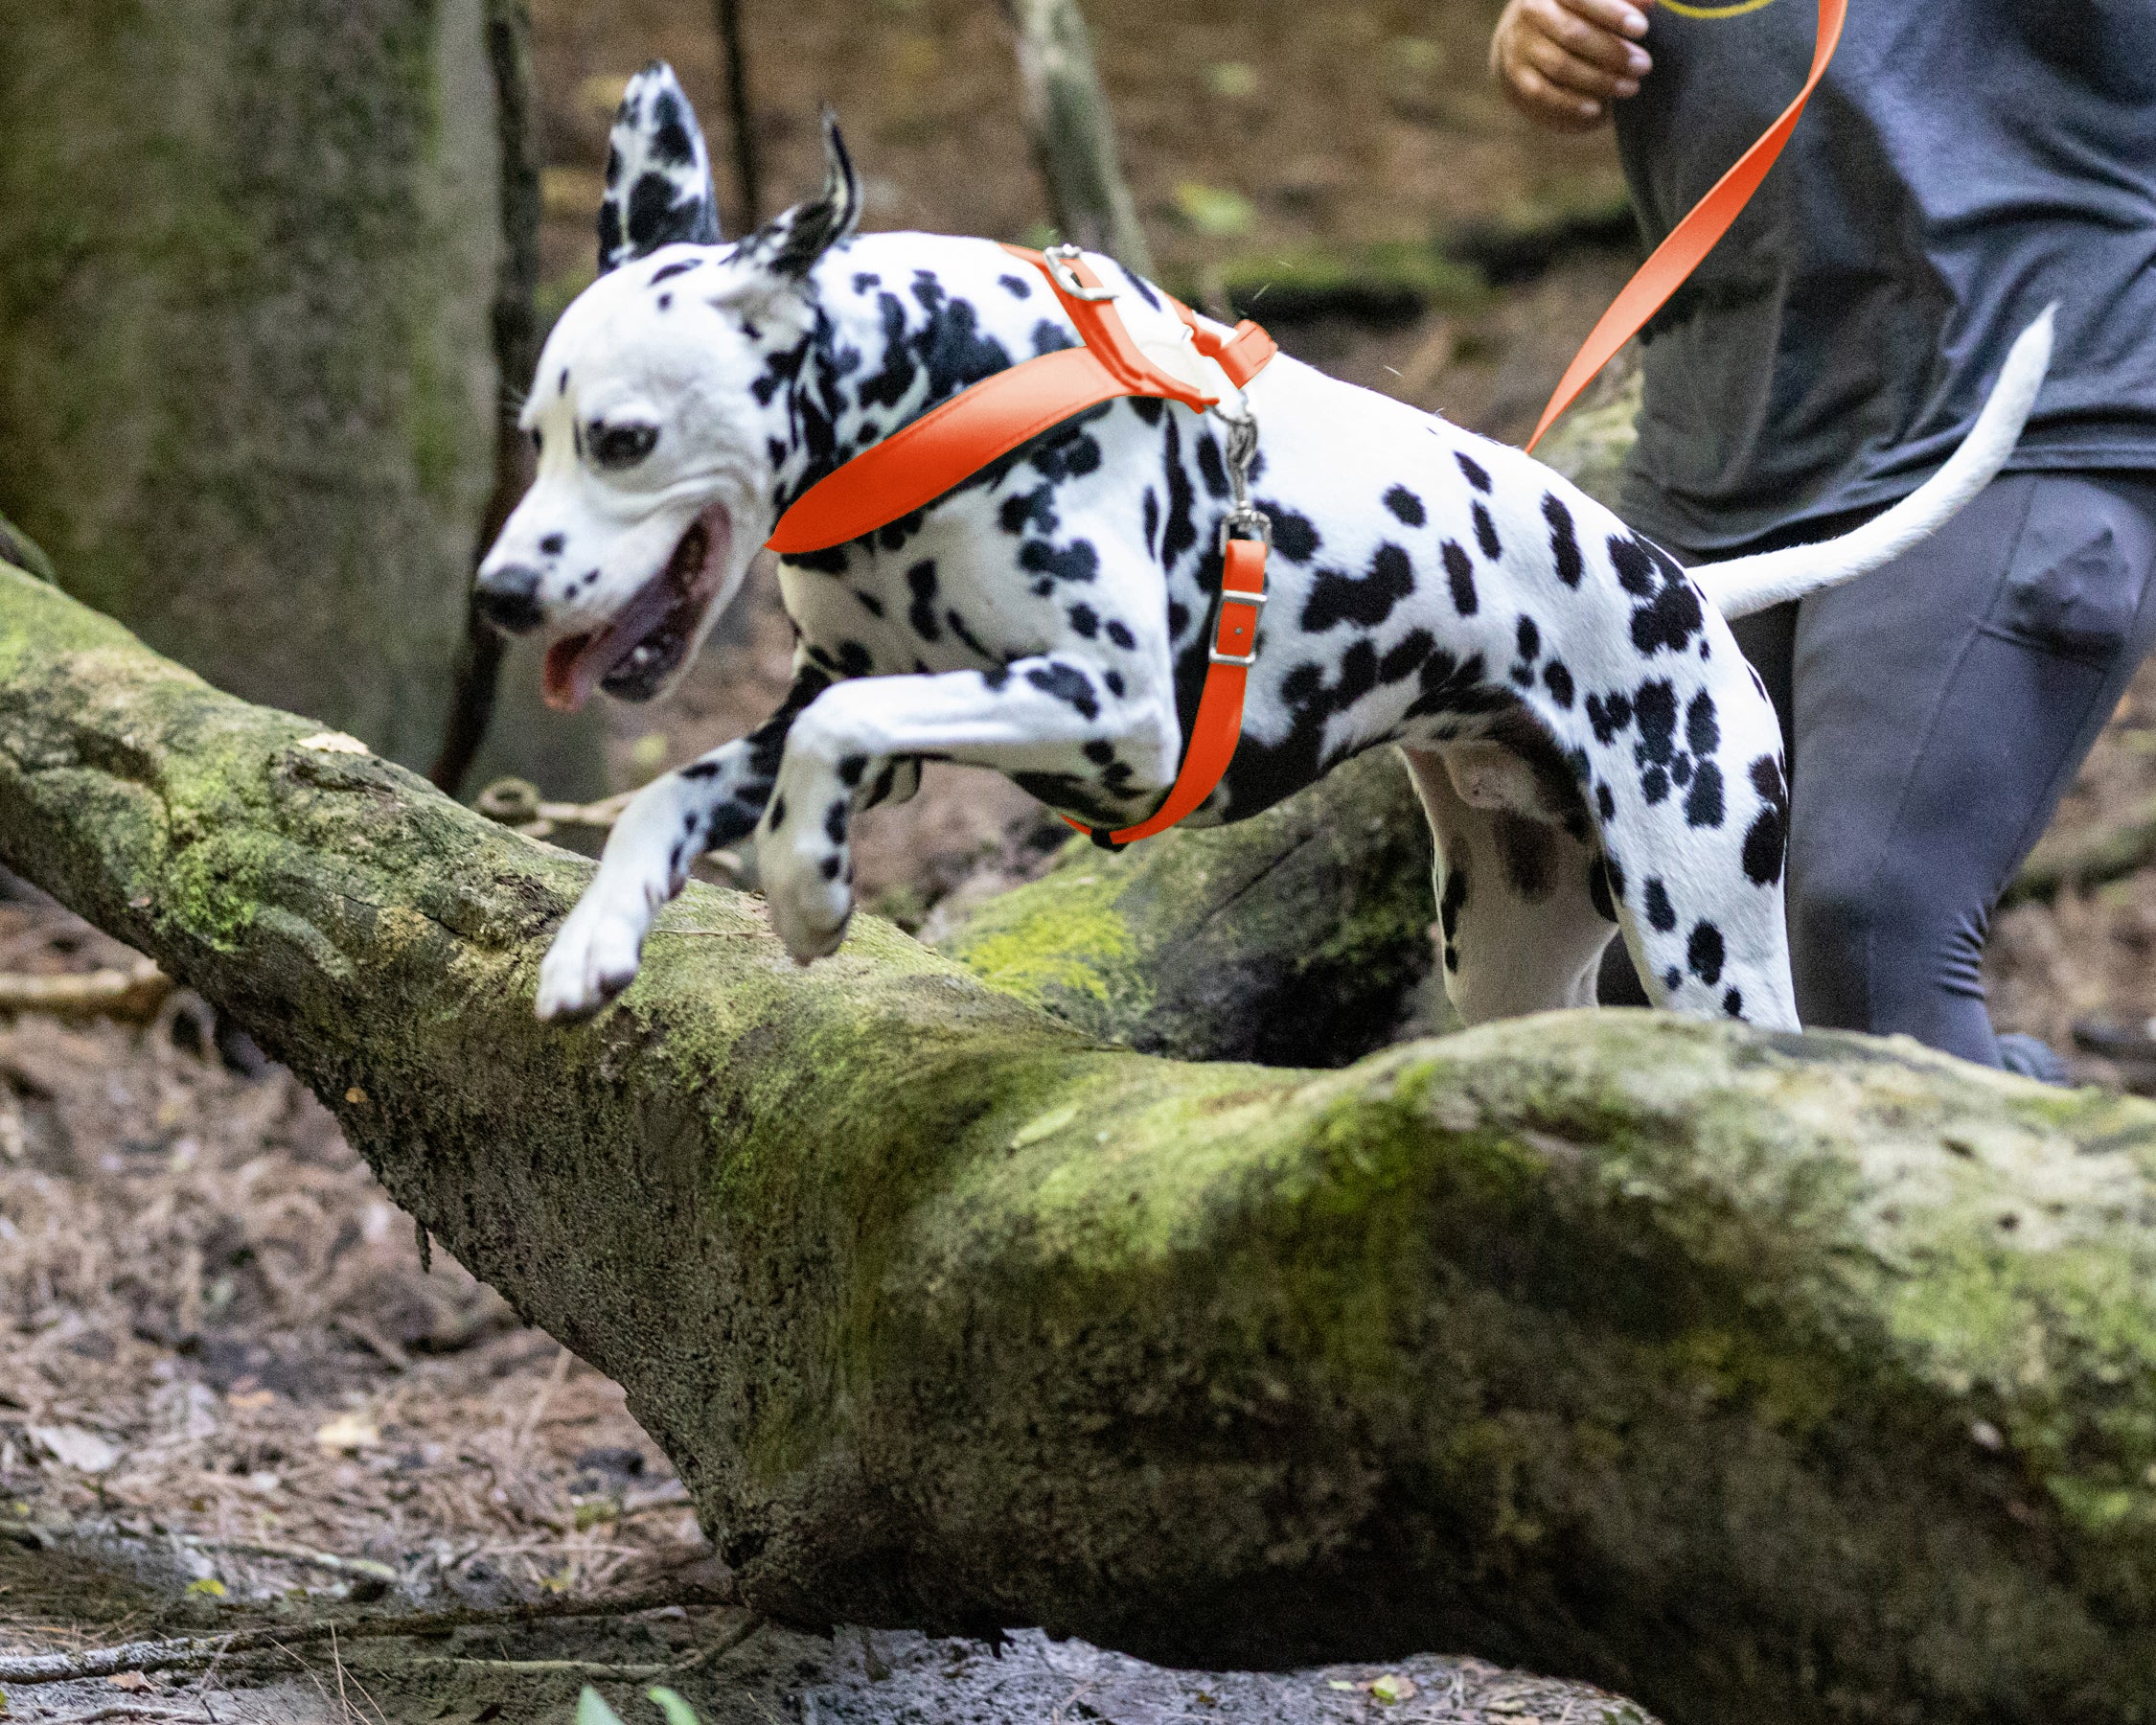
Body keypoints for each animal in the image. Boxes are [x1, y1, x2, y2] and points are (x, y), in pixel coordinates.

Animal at [489, 67, 2053, 1030]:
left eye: (621, 438)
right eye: (533, 433)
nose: (501, 594)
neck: (938, 384)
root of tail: (1684, 586)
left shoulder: (1109, 708)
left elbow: (832, 740)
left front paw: (811, 899)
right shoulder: (857, 708)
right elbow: (681, 785)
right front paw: (597, 937)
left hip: (1706, 935)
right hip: (1509, 948)